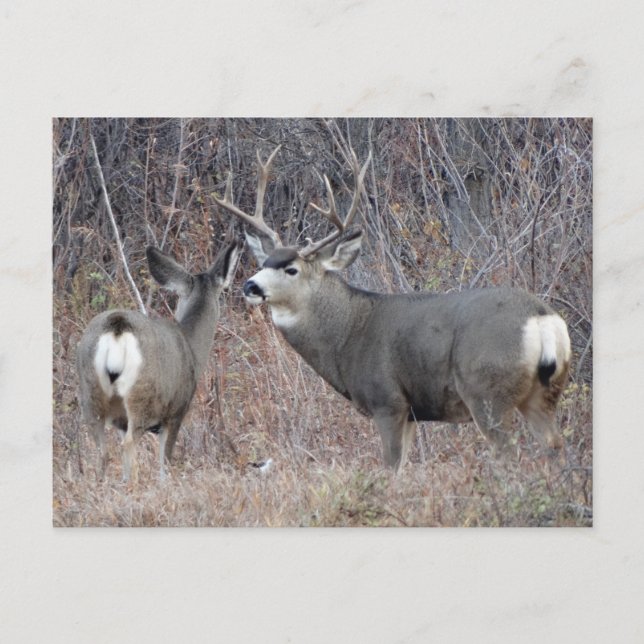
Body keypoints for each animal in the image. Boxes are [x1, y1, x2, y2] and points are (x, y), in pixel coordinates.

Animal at [76, 239, 240, 482]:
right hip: (141, 397)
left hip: (90, 393)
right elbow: (165, 464)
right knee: (129, 445)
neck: (191, 347)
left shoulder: (121, 421)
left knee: (102, 453)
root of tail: (117, 327)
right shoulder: (176, 411)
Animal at [215, 146, 571, 472]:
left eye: (292, 269)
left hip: (486, 391)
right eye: (264, 263)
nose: (250, 286)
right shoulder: (412, 413)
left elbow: (391, 468)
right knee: (555, 445)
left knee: (509, 454)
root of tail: (542, 319)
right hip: (544, 392)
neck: (347, 334)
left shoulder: (387, 401)